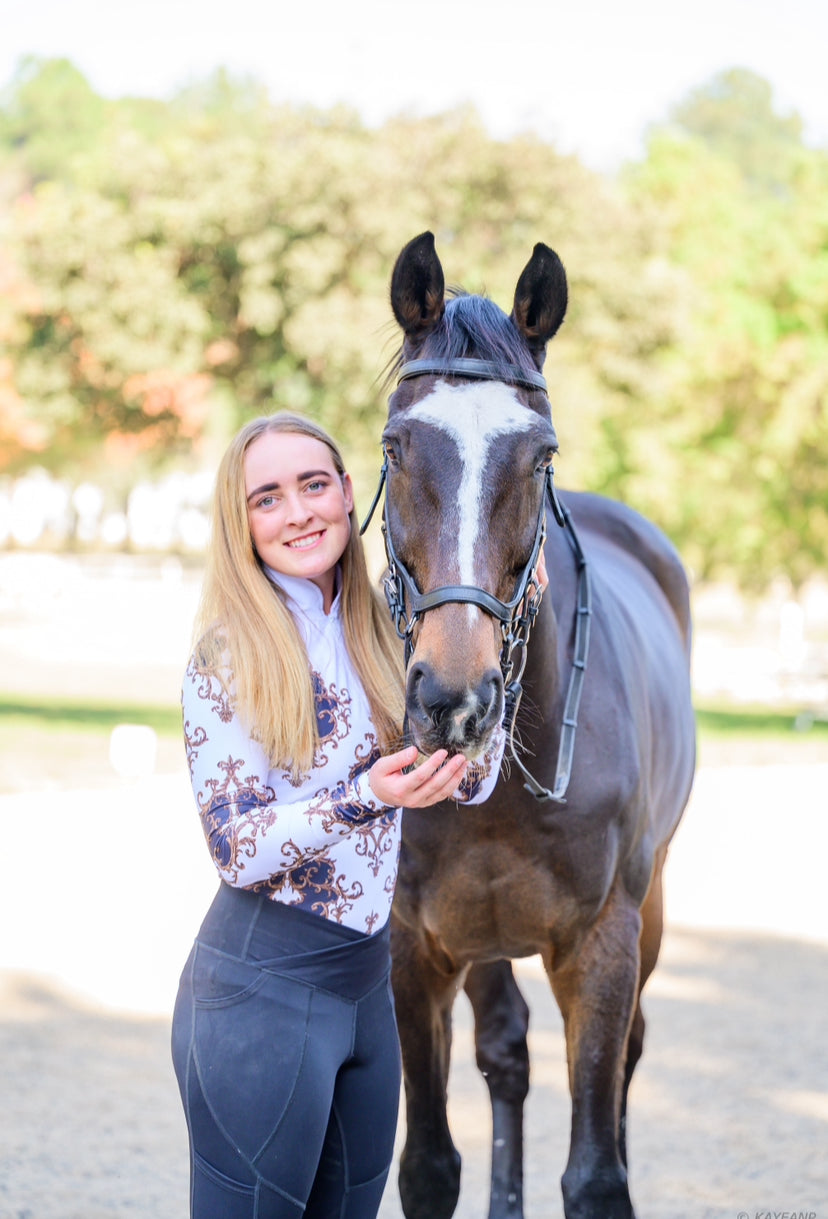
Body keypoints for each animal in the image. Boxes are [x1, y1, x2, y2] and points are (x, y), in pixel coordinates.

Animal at [365, 230, 697, 1219]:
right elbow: (430, 1164)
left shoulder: (602, 944)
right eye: (396, 444)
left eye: (541, 456)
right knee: (506, 1054)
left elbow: (596, 1172)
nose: (454, 700)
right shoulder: (415, 948)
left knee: (625, 1054)